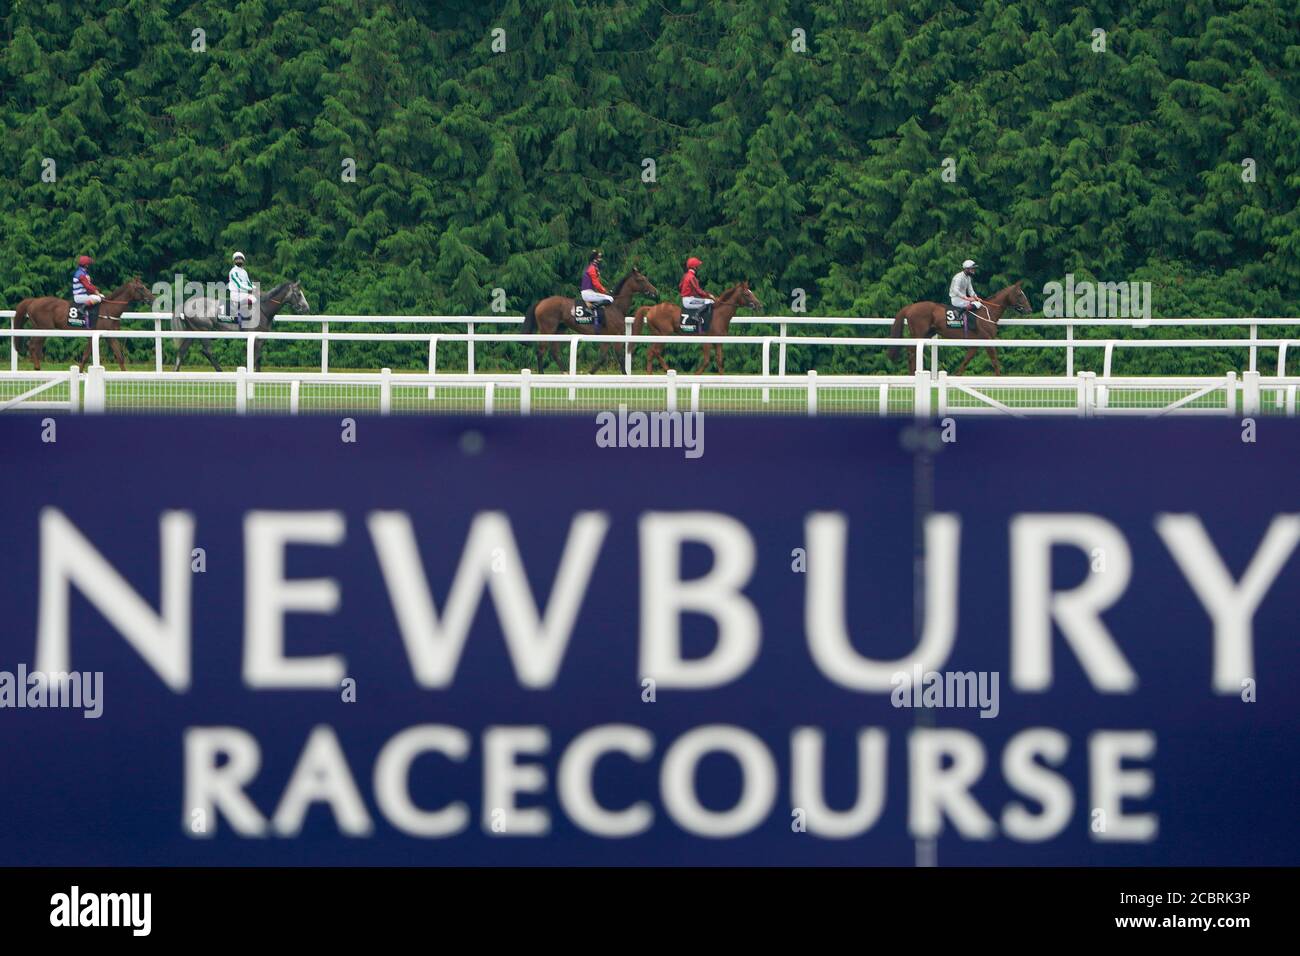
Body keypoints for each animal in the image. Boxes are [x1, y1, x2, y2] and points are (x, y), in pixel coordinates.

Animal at [11, 277, 153, 374]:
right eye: (141, 288)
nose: (152, 298)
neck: (109, 309)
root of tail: (33, 301)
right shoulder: (93, 335)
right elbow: (85, 356)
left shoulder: (109, 336)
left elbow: (119, 356)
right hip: (44, 329)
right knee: (32, 345)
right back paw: (37, 367)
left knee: (35, 346)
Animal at [171, 278, 310, 371]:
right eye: (299, 294)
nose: (306, 308)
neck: (263, 310)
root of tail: (186, 304)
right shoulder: (254, 337)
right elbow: (255, 356)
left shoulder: (261, 337)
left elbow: (258, 357)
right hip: (204, 330)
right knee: (207, 351)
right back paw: (220, 371)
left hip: (192, 332)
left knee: (182, 351)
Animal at [520, 270, 655, 374]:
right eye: (641, 279)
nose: (655, 292)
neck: (615, 307)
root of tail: (541, 302)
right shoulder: (616, 335)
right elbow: (620, 357)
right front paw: (625, 375)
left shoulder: (607, 337)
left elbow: (602, 358)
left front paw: (590, 373)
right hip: (547, 329)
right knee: (540, 351)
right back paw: (541, 373)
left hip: (559, 329)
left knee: (554, 351)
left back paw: (564, 372)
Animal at [634, 280, 764, 374]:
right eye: (747, 293)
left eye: (751, 292)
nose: (759, 305)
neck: (719, 315)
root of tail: (651, 308)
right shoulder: (706, 340)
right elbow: (706, 361)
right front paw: (696, 375)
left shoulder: (718, 341)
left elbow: (719, 360)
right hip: (664, 334)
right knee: (655, 351)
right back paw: (666, 369)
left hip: (657, 334)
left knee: (650, 352)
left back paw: (650, 373)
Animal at [889, 280, 1029, 374]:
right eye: (1019, 294)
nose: (1029, 309)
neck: (988, 312)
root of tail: (910, 307)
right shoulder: (987, 339)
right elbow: (994, 360)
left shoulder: (975, 343)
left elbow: (966, 360)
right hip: (918, 333)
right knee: (911, 351)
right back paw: (912, 373)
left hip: (927, 333)